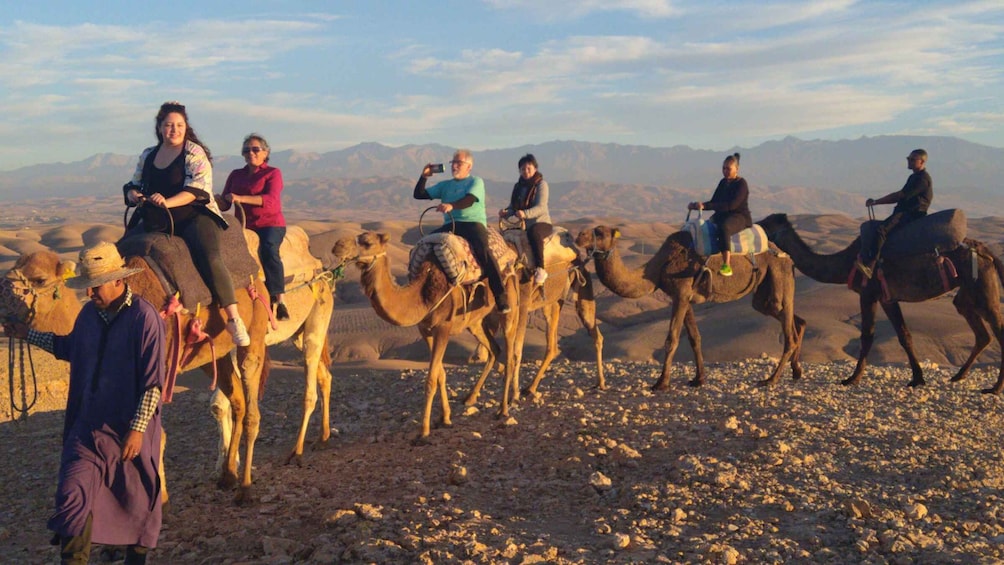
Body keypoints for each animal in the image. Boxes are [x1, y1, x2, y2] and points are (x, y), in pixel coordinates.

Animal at [331, 230, 522, 441]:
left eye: (367, 242)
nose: (337, 246)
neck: (422, 294)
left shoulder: (443, 328)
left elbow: (431, 379)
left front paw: (424, 431)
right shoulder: (425, 330)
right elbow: (440, 374)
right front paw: (445, 418)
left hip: (509, 305)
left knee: (510, 354)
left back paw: (503, 409)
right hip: (474, 321)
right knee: (494, 349)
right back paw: (470, 397)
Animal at [578, 225, 803, 389]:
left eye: (599, 232)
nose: (579, 235)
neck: (657, 269)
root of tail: (787, 256)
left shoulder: (681, 292)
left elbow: (672, 339)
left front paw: (661, 383)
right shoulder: (684, 297)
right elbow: (695, 338)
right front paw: (699, 379)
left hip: (779, 273)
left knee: (788, 330)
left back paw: (771, 379)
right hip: (763, 290)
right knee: (793, 319)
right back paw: (796, 371)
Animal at [759, 213, 1003, 393]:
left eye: (767, 223)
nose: (755, 226)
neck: (847, 261)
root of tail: (985, 250)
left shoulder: (868, 292)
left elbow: (867, 335)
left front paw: (852, 378)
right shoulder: (887, 297)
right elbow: (904, 335)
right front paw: (917, 378)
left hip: (981, 282)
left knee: (996, 327)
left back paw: (994, 388)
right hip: (968, 292)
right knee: (980, 330)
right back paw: (959, 375)